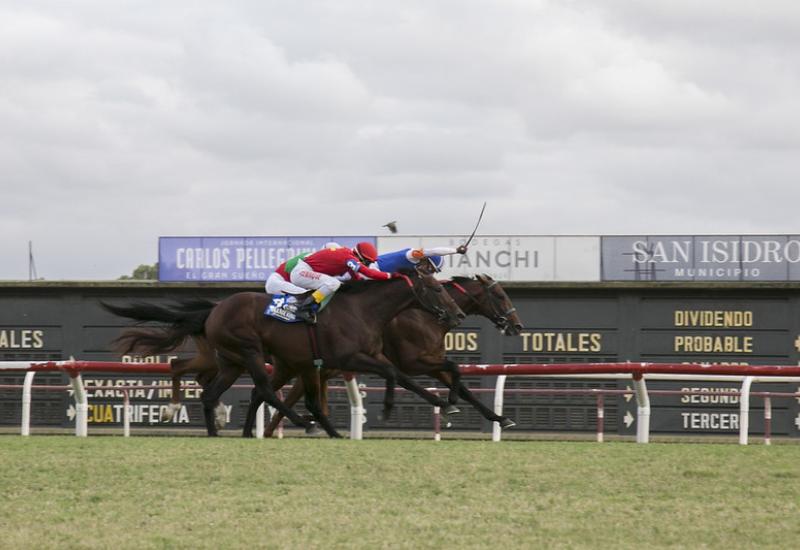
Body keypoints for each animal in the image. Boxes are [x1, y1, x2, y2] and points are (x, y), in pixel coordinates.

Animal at [103, 265, 465, 438]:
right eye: (436, 289)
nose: (458, 314)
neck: (362, 310)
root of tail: (215, 309)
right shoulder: (348, 358)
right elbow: (394, 373)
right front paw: (399, 406)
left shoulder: (363, 357)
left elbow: (401, 375)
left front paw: (443, 402)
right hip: (250, 350)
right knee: (262, 389)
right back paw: (303, 424)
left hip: (235, 361)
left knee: (211, 393)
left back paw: (217, 431)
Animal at [247, 274, 524, 437]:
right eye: (500, 295)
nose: (517, 325)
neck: (424, 316)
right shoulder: (414, 362)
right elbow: (439, 374)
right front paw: (448, 403)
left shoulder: (432, 363)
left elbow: (462, 385)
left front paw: (501, 418)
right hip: (305, 368)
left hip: (304, 368)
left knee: (271, 394)